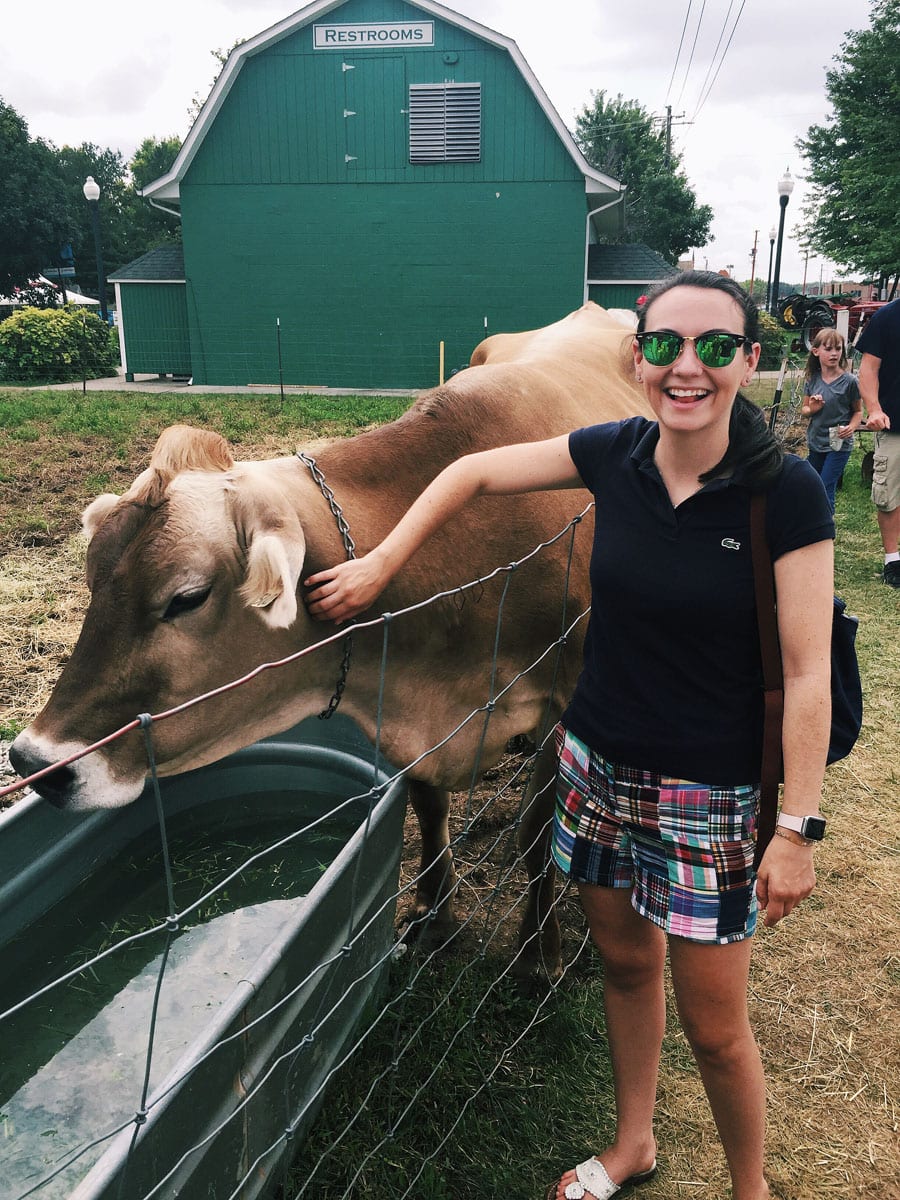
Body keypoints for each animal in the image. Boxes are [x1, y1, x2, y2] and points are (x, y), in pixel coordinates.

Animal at [10, 300, 652, 974]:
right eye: (91, 578)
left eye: (186, 597)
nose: (34, 762)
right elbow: (428, 806)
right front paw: (434, 911)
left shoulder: (568, 697)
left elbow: (537, 830)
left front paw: (539, 951)